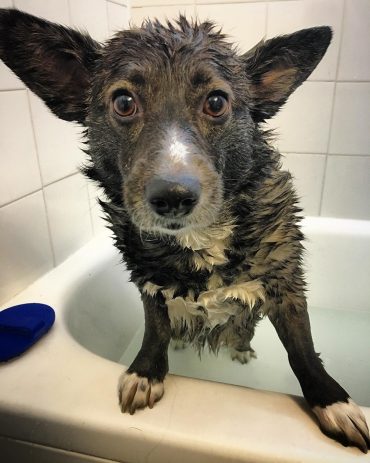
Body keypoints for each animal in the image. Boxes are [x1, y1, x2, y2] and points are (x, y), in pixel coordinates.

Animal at [1, 7, 368, 454]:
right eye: (124, 102)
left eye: (216, 102)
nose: (173, 196)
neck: (200, 240)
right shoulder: (148, 285)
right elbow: (155, 330)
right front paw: (146, 373)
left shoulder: (286, 284)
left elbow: (304, 350)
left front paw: (334, 403)